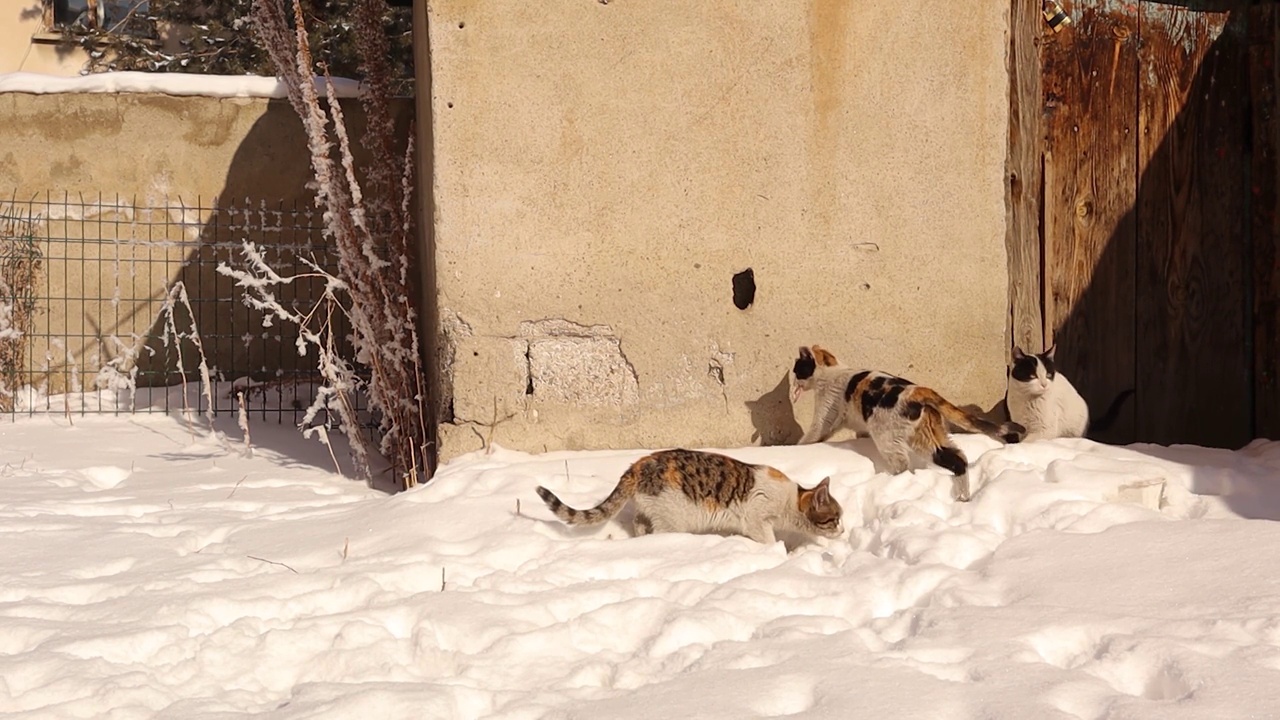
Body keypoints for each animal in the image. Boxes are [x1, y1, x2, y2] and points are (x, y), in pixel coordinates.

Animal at [535, 445, 844, 540]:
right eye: (836, 518)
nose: (843, 530)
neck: (790, 501)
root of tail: (637, 464)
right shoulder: (756, 517)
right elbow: (767, 539)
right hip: (674, 517)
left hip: (651, 509)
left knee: (639, 523)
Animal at [783, 340, 1024, 499]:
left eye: (797, 368)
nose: (793, 381)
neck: (831, 371)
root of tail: (919, 391)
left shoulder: (825, 415)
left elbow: (811, 436)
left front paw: (795, 449)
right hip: (930, 437)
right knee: (959, 458)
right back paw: (963, 497)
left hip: (889, 440)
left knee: (906, 466)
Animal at [1003, 345, 1136, 440]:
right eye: (1032, 376)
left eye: (1048, 375)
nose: (1044, 384)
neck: (1027, 400)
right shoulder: (1021, 426)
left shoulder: (1045, 430)